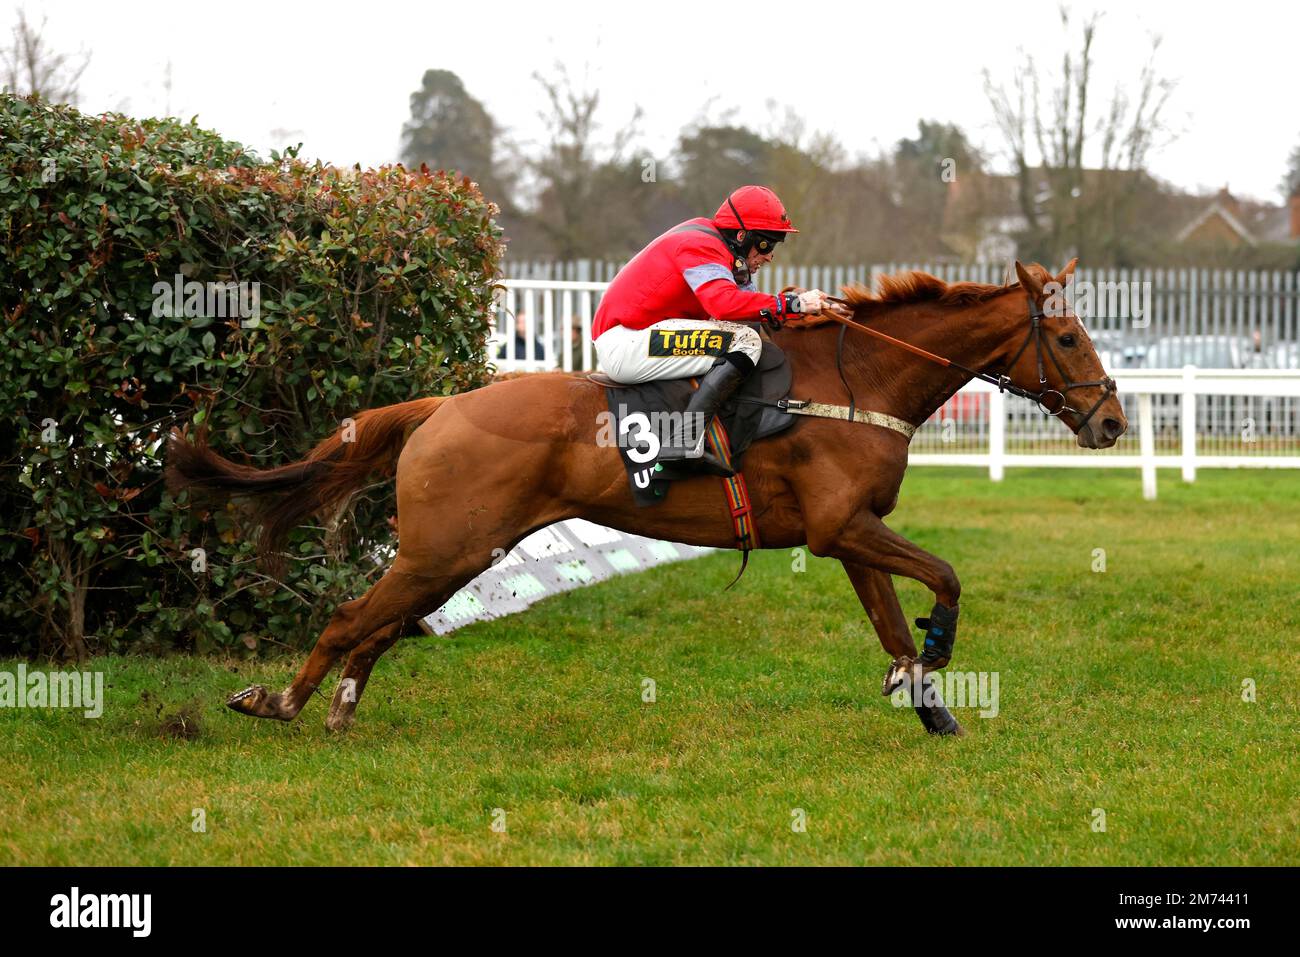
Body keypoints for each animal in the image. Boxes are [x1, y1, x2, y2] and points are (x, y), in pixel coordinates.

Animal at [167, 261, 1128, 738]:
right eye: (1068, 335)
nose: (1113, 419)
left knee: (380, 624)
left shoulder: (855, 531)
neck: (856, 380)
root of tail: (443, 404)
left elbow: (892, 621)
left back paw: (340, 707)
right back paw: (279, 703)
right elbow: (947, 579)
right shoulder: (839, 527)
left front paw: (929, 704)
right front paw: (938, 656)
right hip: (445, 546)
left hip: (458, 551)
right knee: (347, 617)